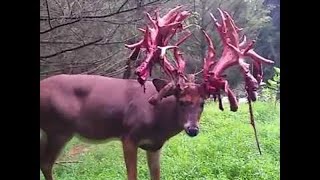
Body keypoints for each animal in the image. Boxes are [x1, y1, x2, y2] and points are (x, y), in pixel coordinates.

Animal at [40, 6, 274, 180]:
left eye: (202, 103)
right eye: (181, 101)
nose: (192, 129)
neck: (157, 120)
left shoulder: (154, 146)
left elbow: (156, 176)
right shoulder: (128, 136)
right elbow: (132, 176)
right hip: (57, 128)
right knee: (46, 163)